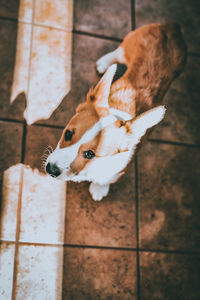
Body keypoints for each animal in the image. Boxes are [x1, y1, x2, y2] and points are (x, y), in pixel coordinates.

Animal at [45, 23, 186, 200]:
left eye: (90, 154)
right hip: (129, 45)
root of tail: (172, 27)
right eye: (68, 134)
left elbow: (105, 181)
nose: (50, 169)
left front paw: (99, 189)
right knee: (118, 52)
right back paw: (105, 64)